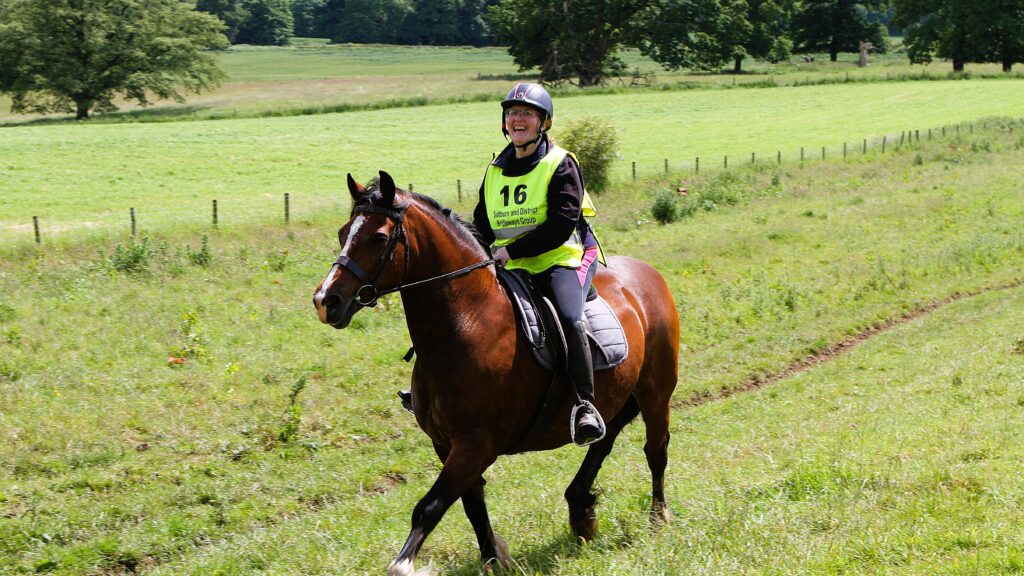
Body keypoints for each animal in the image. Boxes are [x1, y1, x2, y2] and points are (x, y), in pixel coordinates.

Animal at [311, 171, 679, 573]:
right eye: (343, 233)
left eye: (378, 237)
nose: (326, 301)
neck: (467, 323)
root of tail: (647, 273)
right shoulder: (445, 444)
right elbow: (471, 503)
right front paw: (492, 557)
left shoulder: (476, 444)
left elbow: (430, 506)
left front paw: (405, 563)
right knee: (605, 437)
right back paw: (581, 507)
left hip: (656, 392)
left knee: (655, 449)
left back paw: (657, 517)